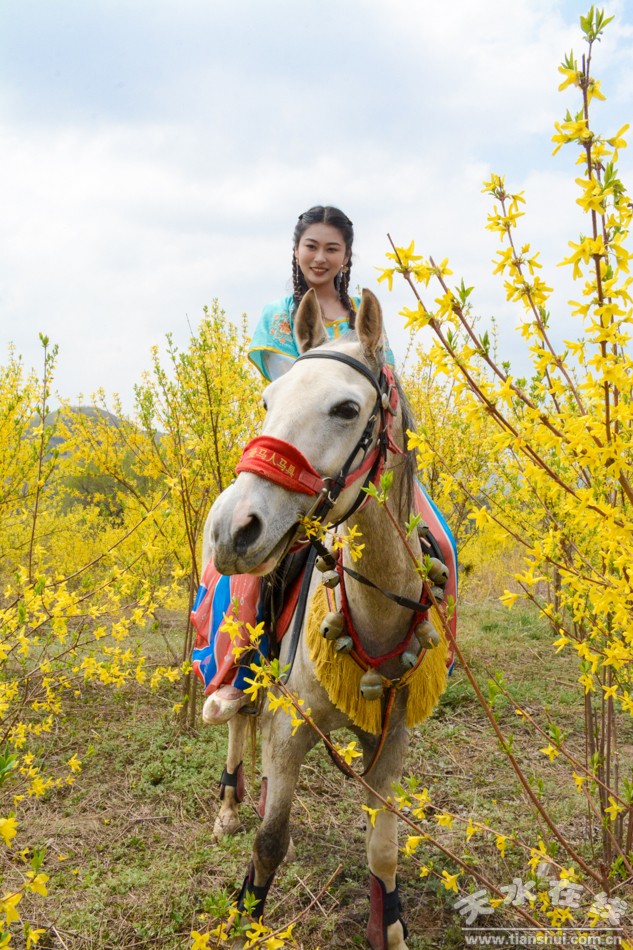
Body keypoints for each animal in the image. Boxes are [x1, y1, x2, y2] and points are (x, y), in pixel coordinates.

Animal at [206, 288, 450, 950]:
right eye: (268, 401)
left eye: (346, 408)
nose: (230, 529)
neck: (374, 615)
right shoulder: (292, 728)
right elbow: (270, 840)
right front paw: (248, 916)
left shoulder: (391, 738)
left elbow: (383, 850)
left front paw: (389, 927)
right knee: (237, 719)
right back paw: (229, 808)